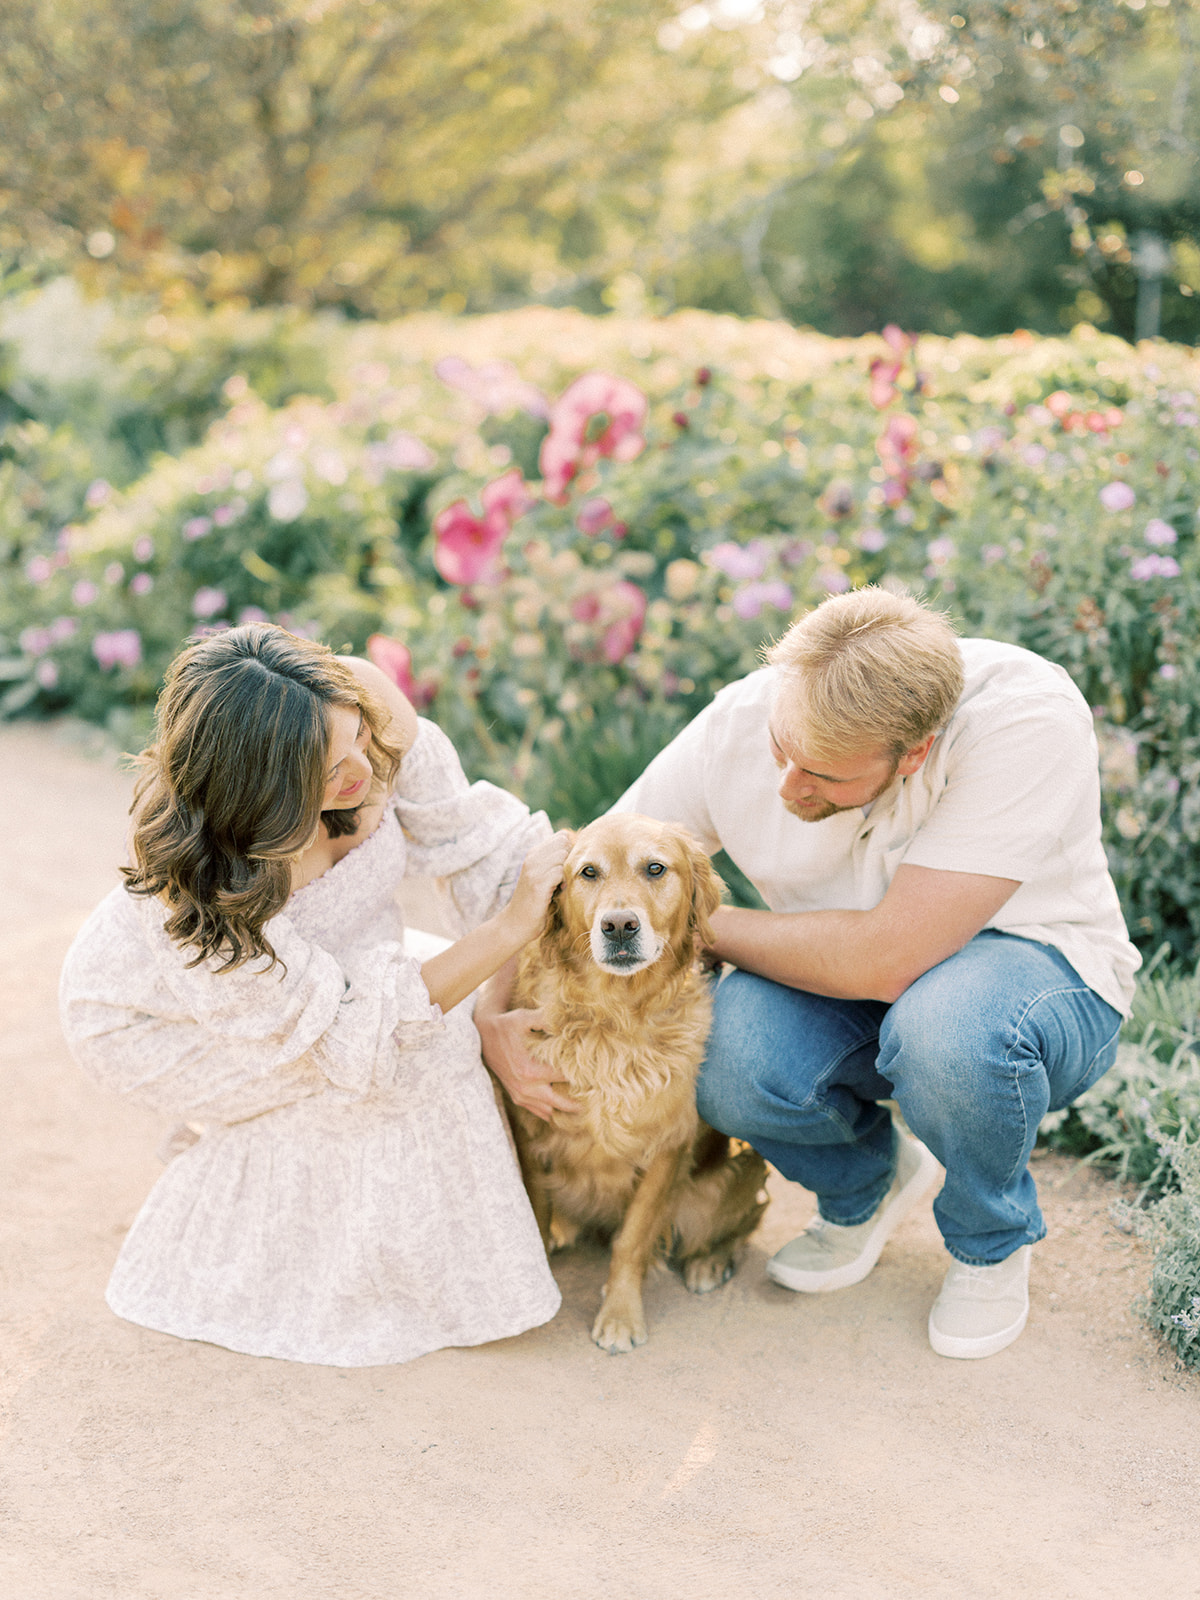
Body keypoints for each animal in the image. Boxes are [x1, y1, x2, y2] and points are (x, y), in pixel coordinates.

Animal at [508, 812, 771, 1350]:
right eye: (588, 872)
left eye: (655, 868)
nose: (619, 926)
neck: (615, 1014)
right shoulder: (529, 1132)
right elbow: (535, 1210)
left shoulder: (669, 1144)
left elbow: (632, 1240)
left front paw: (621, 1315)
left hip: (729, 1178)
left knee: (743, 1221)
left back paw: (709, 1260)